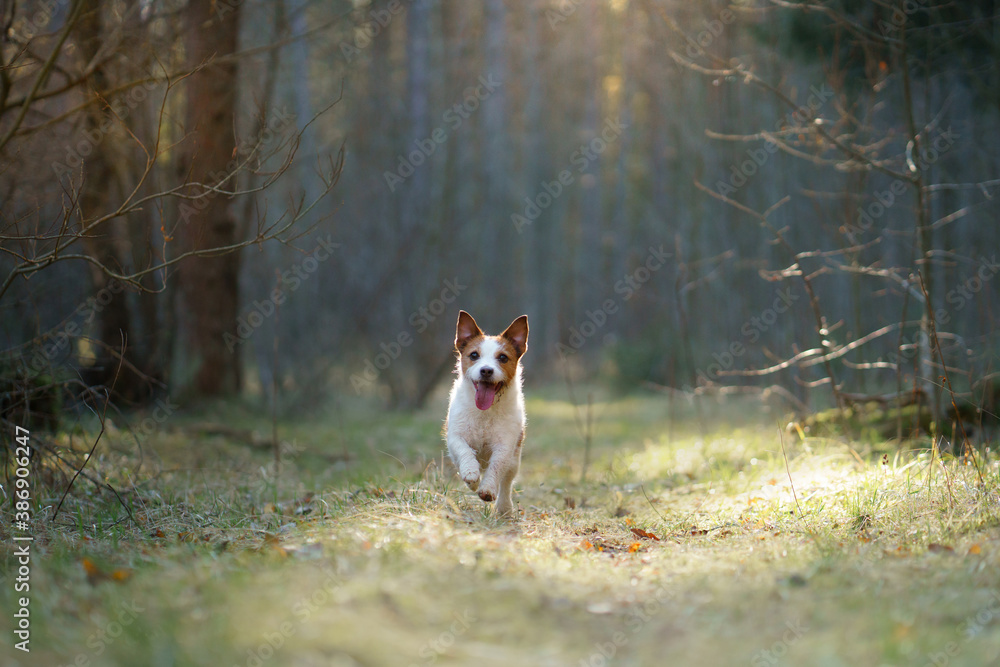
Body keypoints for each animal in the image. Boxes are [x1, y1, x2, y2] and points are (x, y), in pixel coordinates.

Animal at [448, 310, 528, 520]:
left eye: (503, 358)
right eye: (474, 355)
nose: (486, 370)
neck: (485, 413)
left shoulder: (505, 445)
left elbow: (496, 467)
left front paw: (487, 489)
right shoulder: (455, 437)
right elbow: (465, 451)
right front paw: (471, 474)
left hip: (515, 459)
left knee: (507, 481)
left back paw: (504, 507)